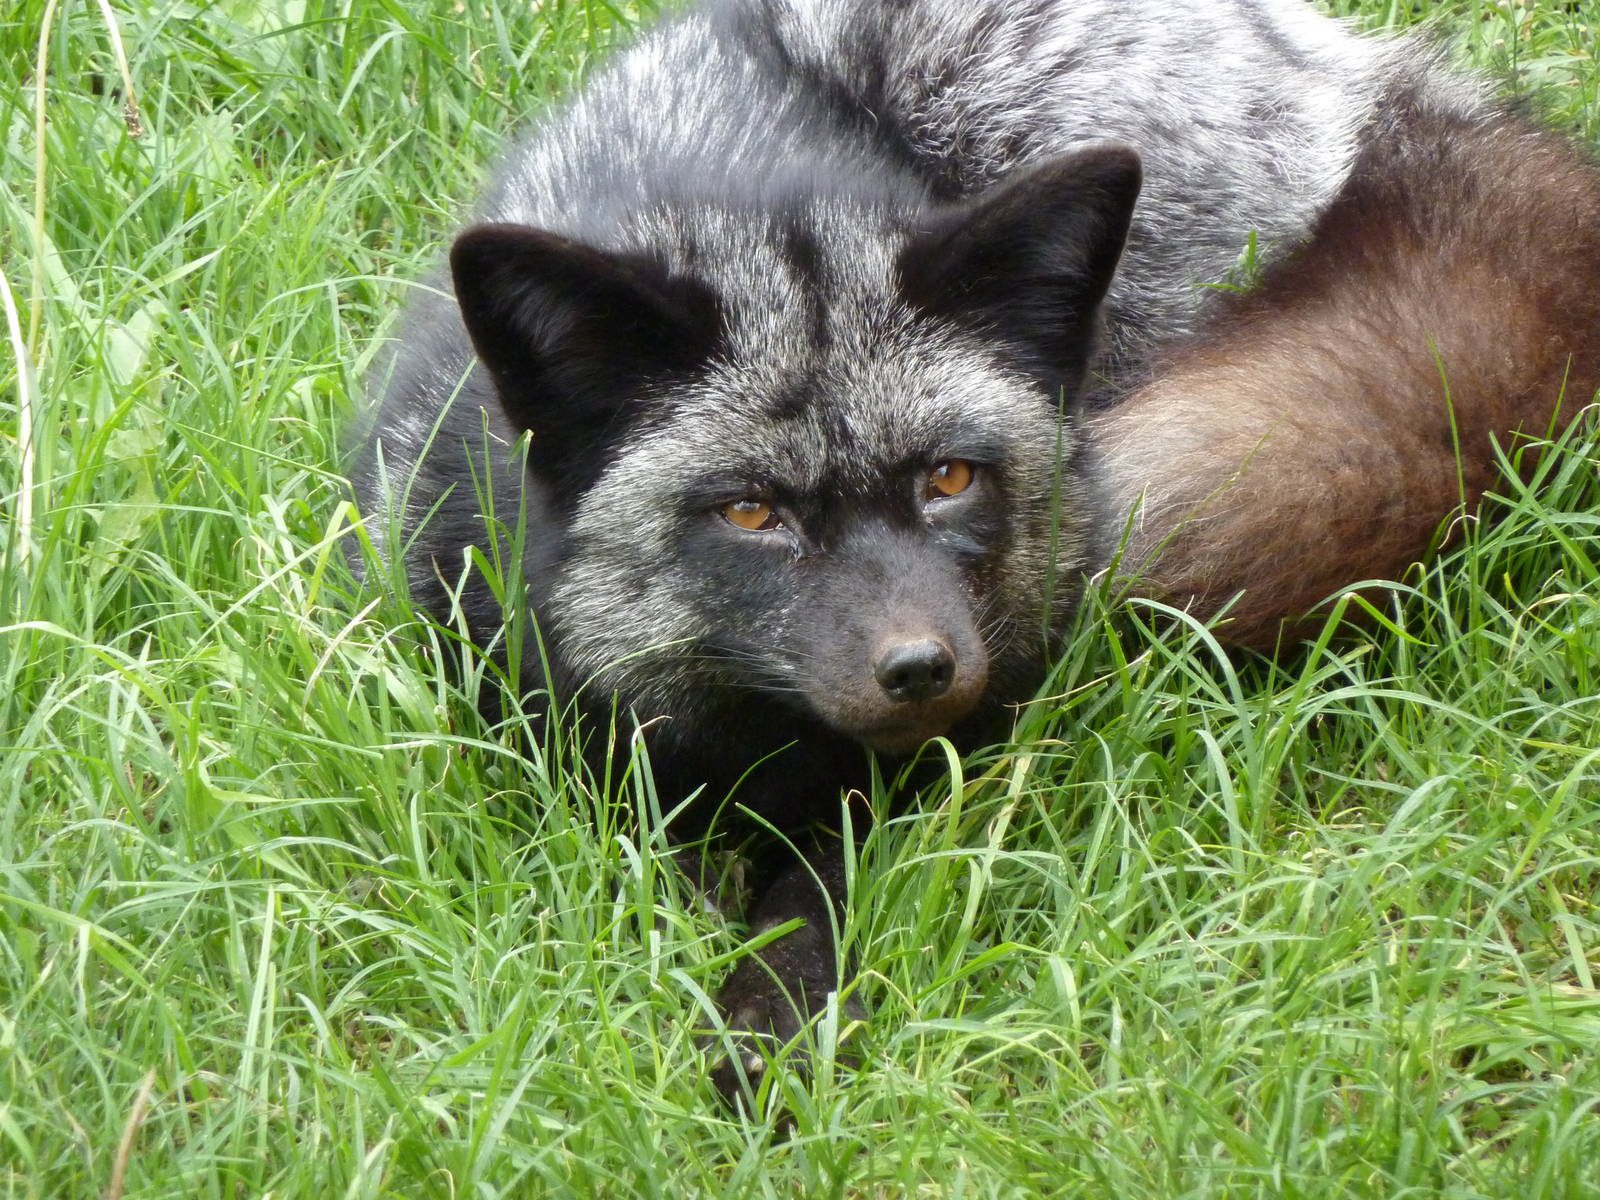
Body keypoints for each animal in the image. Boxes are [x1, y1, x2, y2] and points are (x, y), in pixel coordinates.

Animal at [351, 0, 1600, 1100]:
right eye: (751, 513)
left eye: (947, 480)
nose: (921, 671)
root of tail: (1387, 86)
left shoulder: (908, 777)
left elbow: (809, 913)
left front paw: (769, 1042)